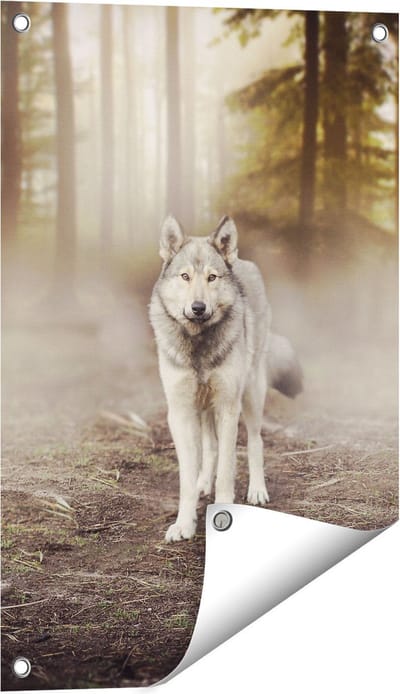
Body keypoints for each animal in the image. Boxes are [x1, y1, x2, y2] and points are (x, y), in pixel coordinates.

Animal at [149, 215, 302, 542]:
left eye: (212, 278)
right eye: (185, 276)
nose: (198, 308)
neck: (199, 345)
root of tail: (242, 260)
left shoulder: (228, 408)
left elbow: (227, 470)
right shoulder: (180, 413)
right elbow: (187, 477)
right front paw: (184, 523)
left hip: (251, 394)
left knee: (255, 442)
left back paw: (257, 490)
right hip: (204, 407)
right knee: (210, 448)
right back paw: (202, 483)